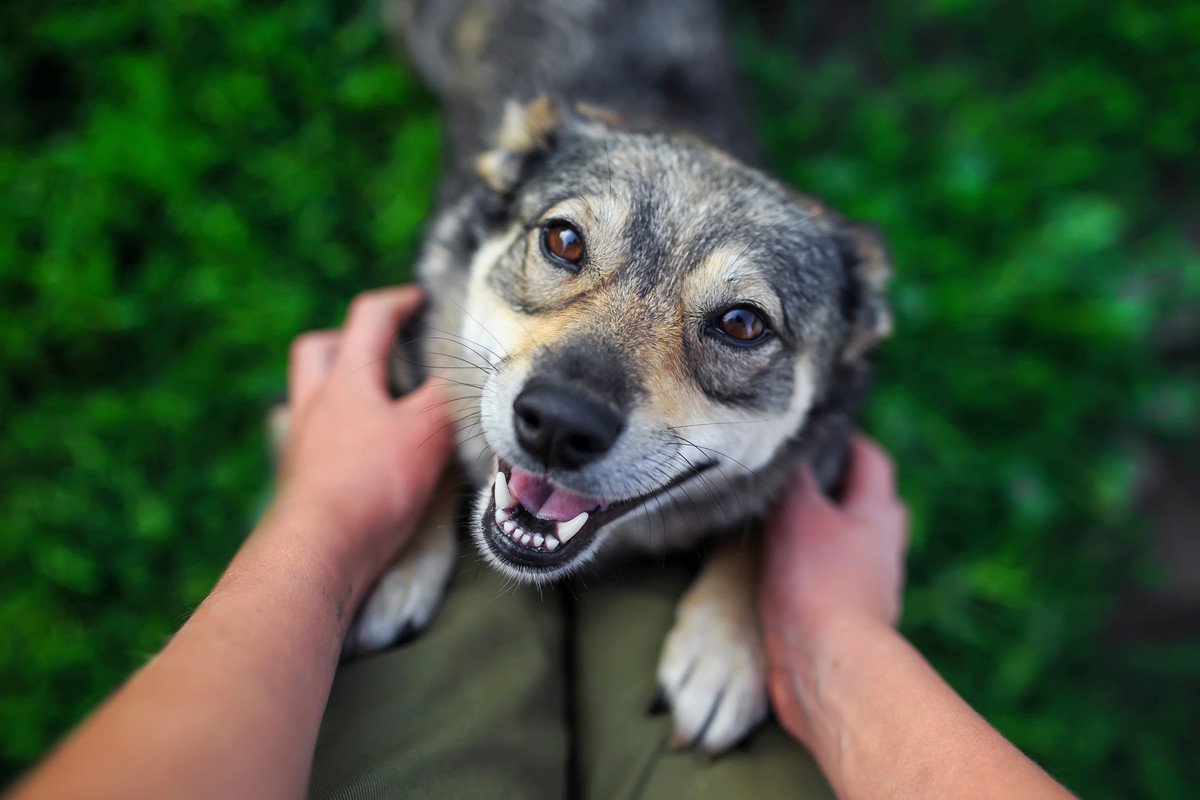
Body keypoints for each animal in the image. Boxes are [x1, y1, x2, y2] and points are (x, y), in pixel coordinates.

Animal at [340, 0, 892, 753]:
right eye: (563, 240)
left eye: (743, 324)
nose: (558, 424)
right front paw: (397, 564)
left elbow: (766, 526)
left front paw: (724, 650)